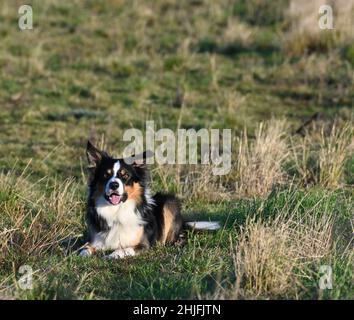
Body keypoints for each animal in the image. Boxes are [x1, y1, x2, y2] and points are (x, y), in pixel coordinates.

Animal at [79, 141, 220, 258]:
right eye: (105, 175)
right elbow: (85, 248)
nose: (114, 185)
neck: (117, 211)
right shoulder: (97, 240)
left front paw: (112, 255)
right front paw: (83, 253)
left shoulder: (143, 244)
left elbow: (124, 249)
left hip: (169, 202)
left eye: (125, 175)